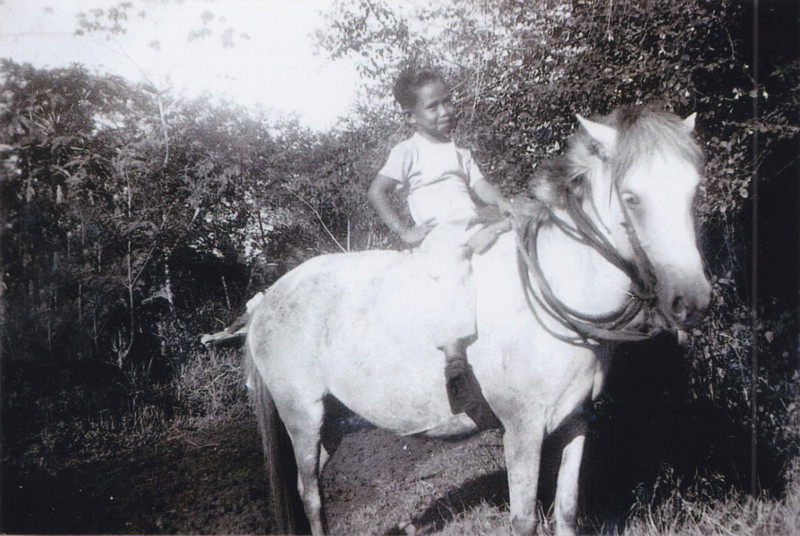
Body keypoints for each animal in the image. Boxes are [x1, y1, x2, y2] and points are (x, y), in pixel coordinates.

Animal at [242, 105, 708, 536]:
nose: (693, 300)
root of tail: (267, 300)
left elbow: (567, 511)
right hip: (301, 414)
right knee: (310, 495)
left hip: (330, 420)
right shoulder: (522, 430)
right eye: (632, 198)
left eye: (693, 191)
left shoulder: (576, 422)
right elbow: (524, 520)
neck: (558, 285)